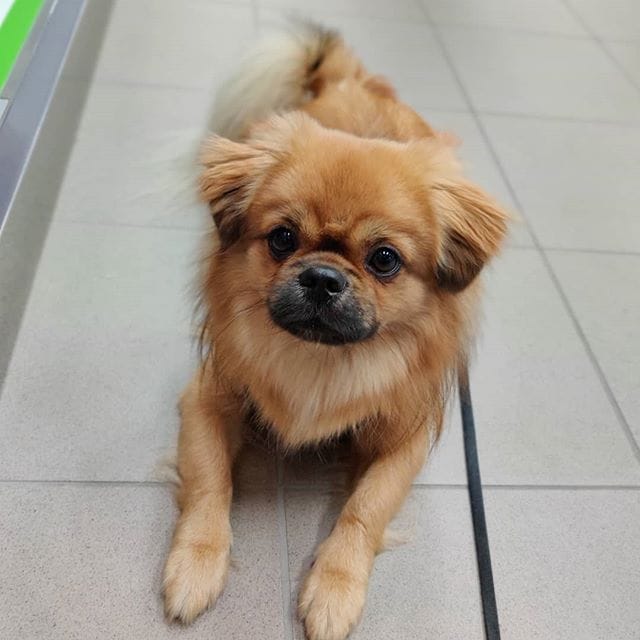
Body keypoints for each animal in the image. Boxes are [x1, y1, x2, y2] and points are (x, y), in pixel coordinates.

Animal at [162, 21, 508, 640]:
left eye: (385, 259)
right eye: (282, 238)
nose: (322, 278)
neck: (320, 361)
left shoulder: (403, 439)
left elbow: (363, 510)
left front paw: (333, 590)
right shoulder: (206, 399)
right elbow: (209, 484)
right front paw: (196, 566)